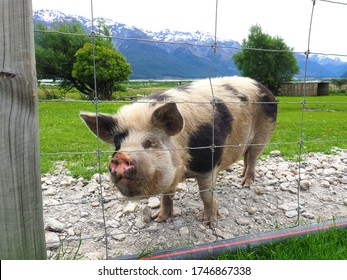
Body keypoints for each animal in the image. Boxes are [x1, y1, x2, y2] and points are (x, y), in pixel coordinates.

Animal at [81, 76, 278, 228]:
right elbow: (166, 194)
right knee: (246, 156)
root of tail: (261, 86)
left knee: (253, 157)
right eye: (117, 145)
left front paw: (209, 223)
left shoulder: (208, 163)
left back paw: (245, 183)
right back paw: (242, 177)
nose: (121, 157)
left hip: (264, 132)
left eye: (150, 142)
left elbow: (206, 194)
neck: (184, 167)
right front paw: (158, 219)